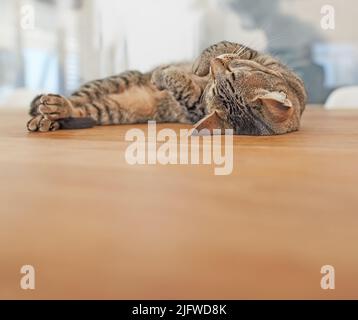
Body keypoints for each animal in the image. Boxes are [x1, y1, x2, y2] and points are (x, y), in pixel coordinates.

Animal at [27, 40, 308, 135]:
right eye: (231, 73)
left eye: (218, 88)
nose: (213, 67)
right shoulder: (261, 57)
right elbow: (225, 44)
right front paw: (199, 63)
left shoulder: (193, 105)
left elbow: (179, 84)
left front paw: (165, 74)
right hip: (111, 82)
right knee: (73, 100)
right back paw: (45, 116)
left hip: (107, 110)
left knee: (77, 109)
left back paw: (52, 114)